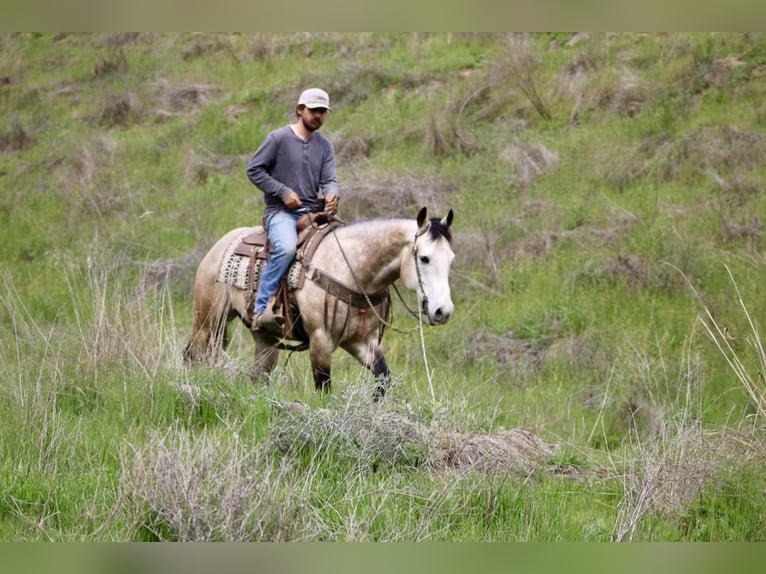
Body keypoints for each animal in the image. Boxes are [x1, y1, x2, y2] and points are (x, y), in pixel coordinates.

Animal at [183, 207, 455, 398]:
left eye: (451, 258)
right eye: (425, 258)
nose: (443, 311)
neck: (351, 270)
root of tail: (220, 245)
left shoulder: (364, 343)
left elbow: (383, 380)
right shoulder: (320, 339)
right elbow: (323, 388)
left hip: (265, 338)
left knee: (259, 374)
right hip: (208, 320)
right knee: (192, 354)